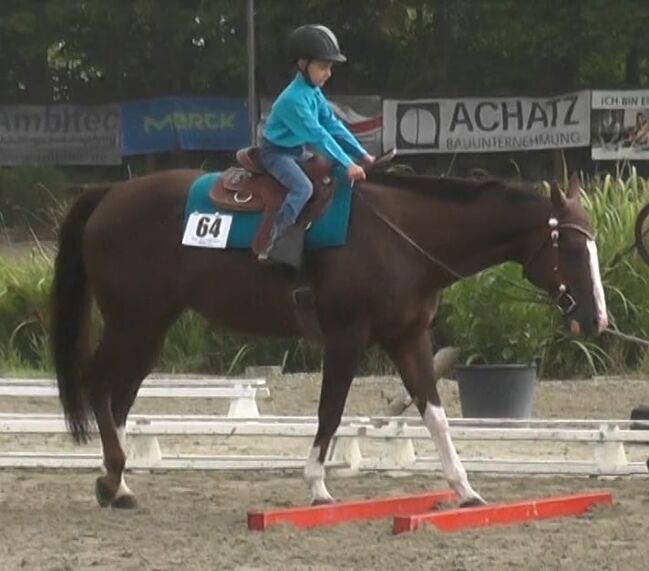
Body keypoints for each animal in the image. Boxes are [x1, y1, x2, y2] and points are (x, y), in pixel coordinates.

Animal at [50, 170, 608, 510]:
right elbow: (331, 410)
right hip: (133, 322)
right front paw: (317, 484)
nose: (597, 319)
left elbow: (434, 413)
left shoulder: (407, 339)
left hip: (150, 327)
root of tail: (110, 194)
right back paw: (112, 478)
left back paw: (119, 485)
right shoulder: (347, 338)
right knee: (99, 385)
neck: (401, 238)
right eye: (571, 249)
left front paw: (464, 487)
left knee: (119, 396)